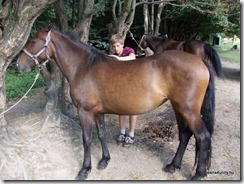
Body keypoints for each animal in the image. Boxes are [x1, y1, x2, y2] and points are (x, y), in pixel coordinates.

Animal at [16, 24, 215, 180]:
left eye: (33, 41)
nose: (18, 65)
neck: (83, 67)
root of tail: (200, 62)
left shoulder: (85, 112)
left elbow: (87, 139)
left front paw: (85, 169)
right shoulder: (97, 112)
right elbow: (101, 134)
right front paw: (104, 160)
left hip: (188, 110)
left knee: (203, 137)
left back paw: (198, 174)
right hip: (178, 107)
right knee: (185, 135)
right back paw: (173, 166)